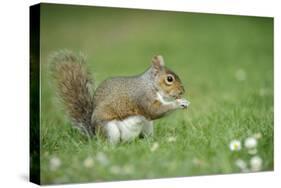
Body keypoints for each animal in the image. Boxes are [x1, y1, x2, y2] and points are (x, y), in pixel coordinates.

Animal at [51, 50, 189, 143]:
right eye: (169, 79)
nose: (182, 91)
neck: (151, 85)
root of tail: (94, 134)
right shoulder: (143, 97)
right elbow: (155, 111)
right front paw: (179, 103)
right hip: (109, 129)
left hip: (147, 126)